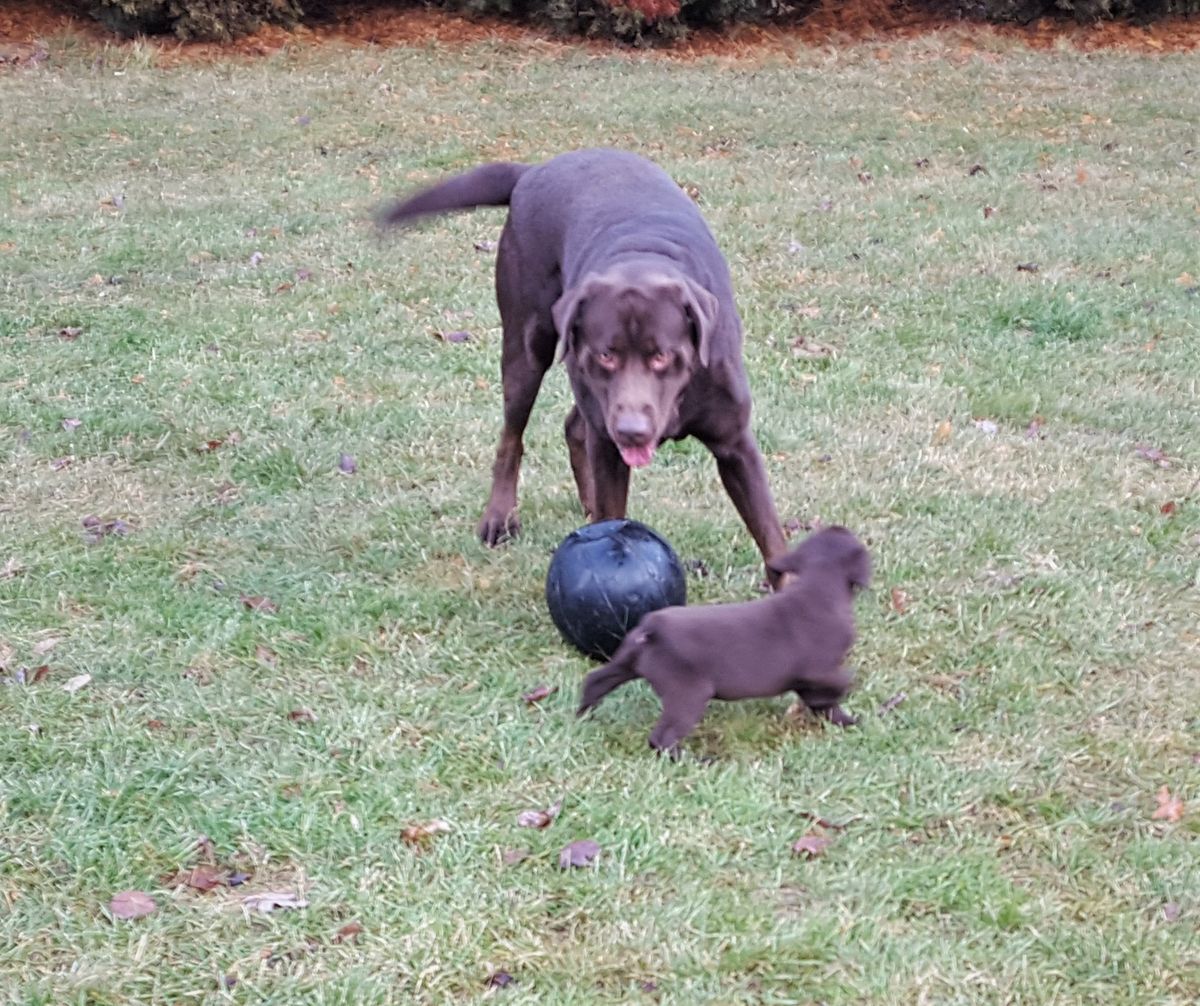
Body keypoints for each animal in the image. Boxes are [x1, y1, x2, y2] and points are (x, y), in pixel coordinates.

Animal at [376, 147, 787, 583]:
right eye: (607, 354)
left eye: (662, 355)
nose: (632, 431)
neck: (644, 259)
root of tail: (535, 170)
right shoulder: (608, 438)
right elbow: (612, 513)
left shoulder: (735, 444)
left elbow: (772, 538)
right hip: (528, 347)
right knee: (512, 437)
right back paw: (500, 517)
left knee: (575, 427)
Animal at [576, 528, 868, 758]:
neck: (818, 585)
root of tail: (653, 627)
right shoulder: (817, 670)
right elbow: (834, 684)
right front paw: (847, 693)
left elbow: (824, 703)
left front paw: (846, 720)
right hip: (689, 695)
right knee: (661, 738)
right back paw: (695, 760)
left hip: (626, 662)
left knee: (596, 681)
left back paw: (584, 714)